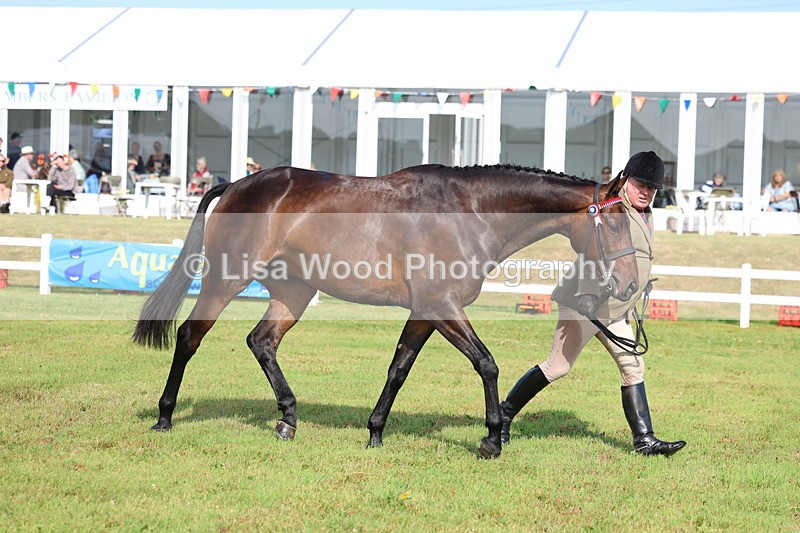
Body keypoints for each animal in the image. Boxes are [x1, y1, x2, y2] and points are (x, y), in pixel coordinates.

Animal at [132, 163, 639, 459]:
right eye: (616, 223)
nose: (631, 284)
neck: (470, 211)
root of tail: (237, 184)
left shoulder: (426, 310)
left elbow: (399, 367)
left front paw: (375, 432)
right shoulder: (443, 305)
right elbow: (486, 363)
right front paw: (492, 438)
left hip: (294, 291)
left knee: (262, 342)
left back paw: (288, 418)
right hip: (226, 279)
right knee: (189, 337)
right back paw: (165, 416)